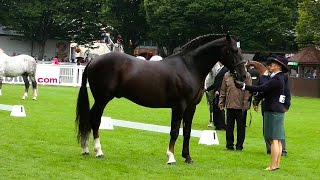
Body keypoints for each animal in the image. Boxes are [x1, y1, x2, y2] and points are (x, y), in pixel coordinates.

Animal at [76, 34, 246, 165]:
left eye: (239, 50)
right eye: (233, 50)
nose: (243, 75)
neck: (189, 67)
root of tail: (93, 61)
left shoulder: (191, 107)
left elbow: (187, 132)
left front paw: (187, 157)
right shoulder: (179, 106)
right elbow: (175, 131)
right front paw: (171, 158)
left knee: (89, 119)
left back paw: (86, 149)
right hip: (102, 99)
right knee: (95, 120)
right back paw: (98, 151)